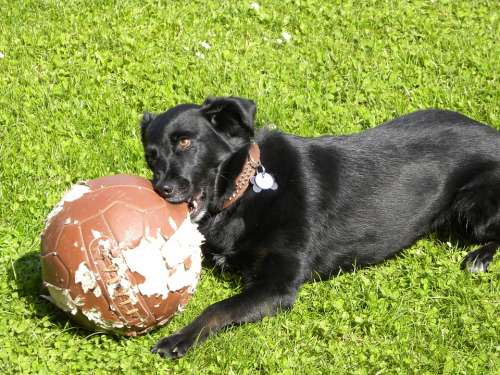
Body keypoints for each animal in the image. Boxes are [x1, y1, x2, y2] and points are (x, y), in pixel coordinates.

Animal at [141, 96, 500, 358]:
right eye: (151, 156)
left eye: (185, 143)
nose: (161, 189)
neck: (246, 190)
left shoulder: (277, 285)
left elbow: (218, 308)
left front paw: (178, 338)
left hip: (473, 209)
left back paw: (480, 258)